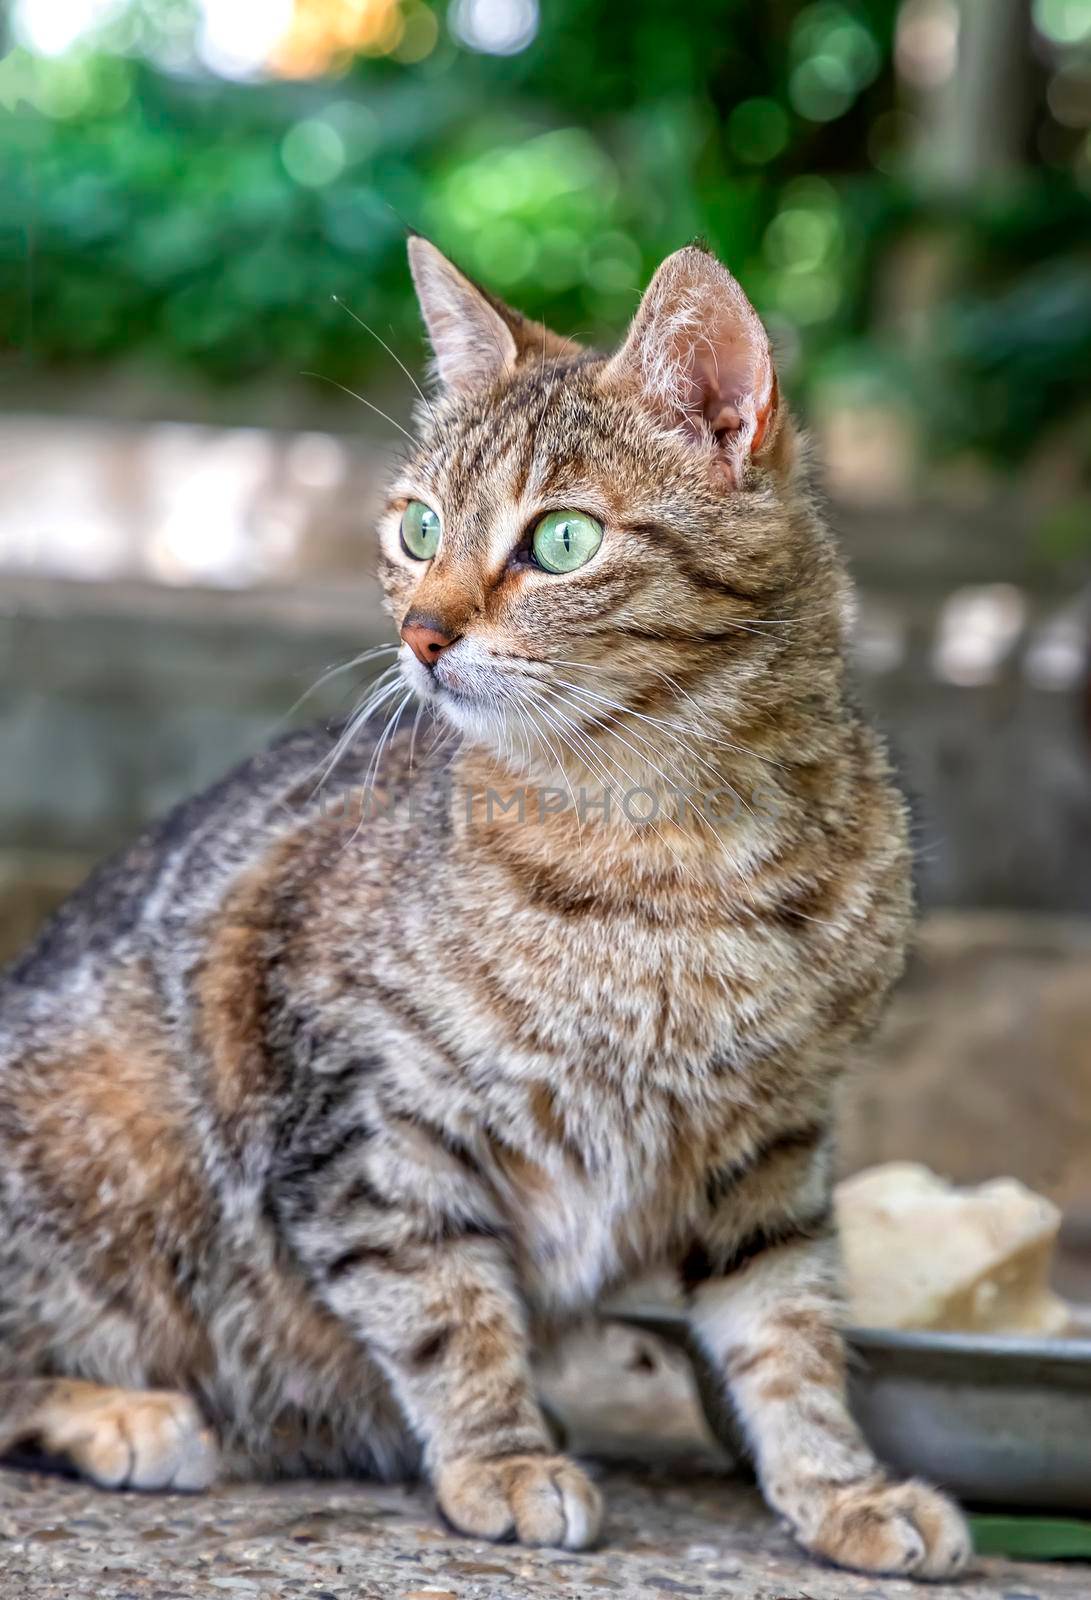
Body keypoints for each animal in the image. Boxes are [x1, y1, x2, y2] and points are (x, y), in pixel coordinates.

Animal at [0, 236, 966, 1574]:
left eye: (558, 541)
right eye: (416, 527)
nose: (419, 630)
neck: (671, 853)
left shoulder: (766, 1147)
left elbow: (789, 1327)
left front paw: (839, 1487)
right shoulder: (364, 1121)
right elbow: (444, 1306)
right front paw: (500, 1457)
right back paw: (123, 1413)